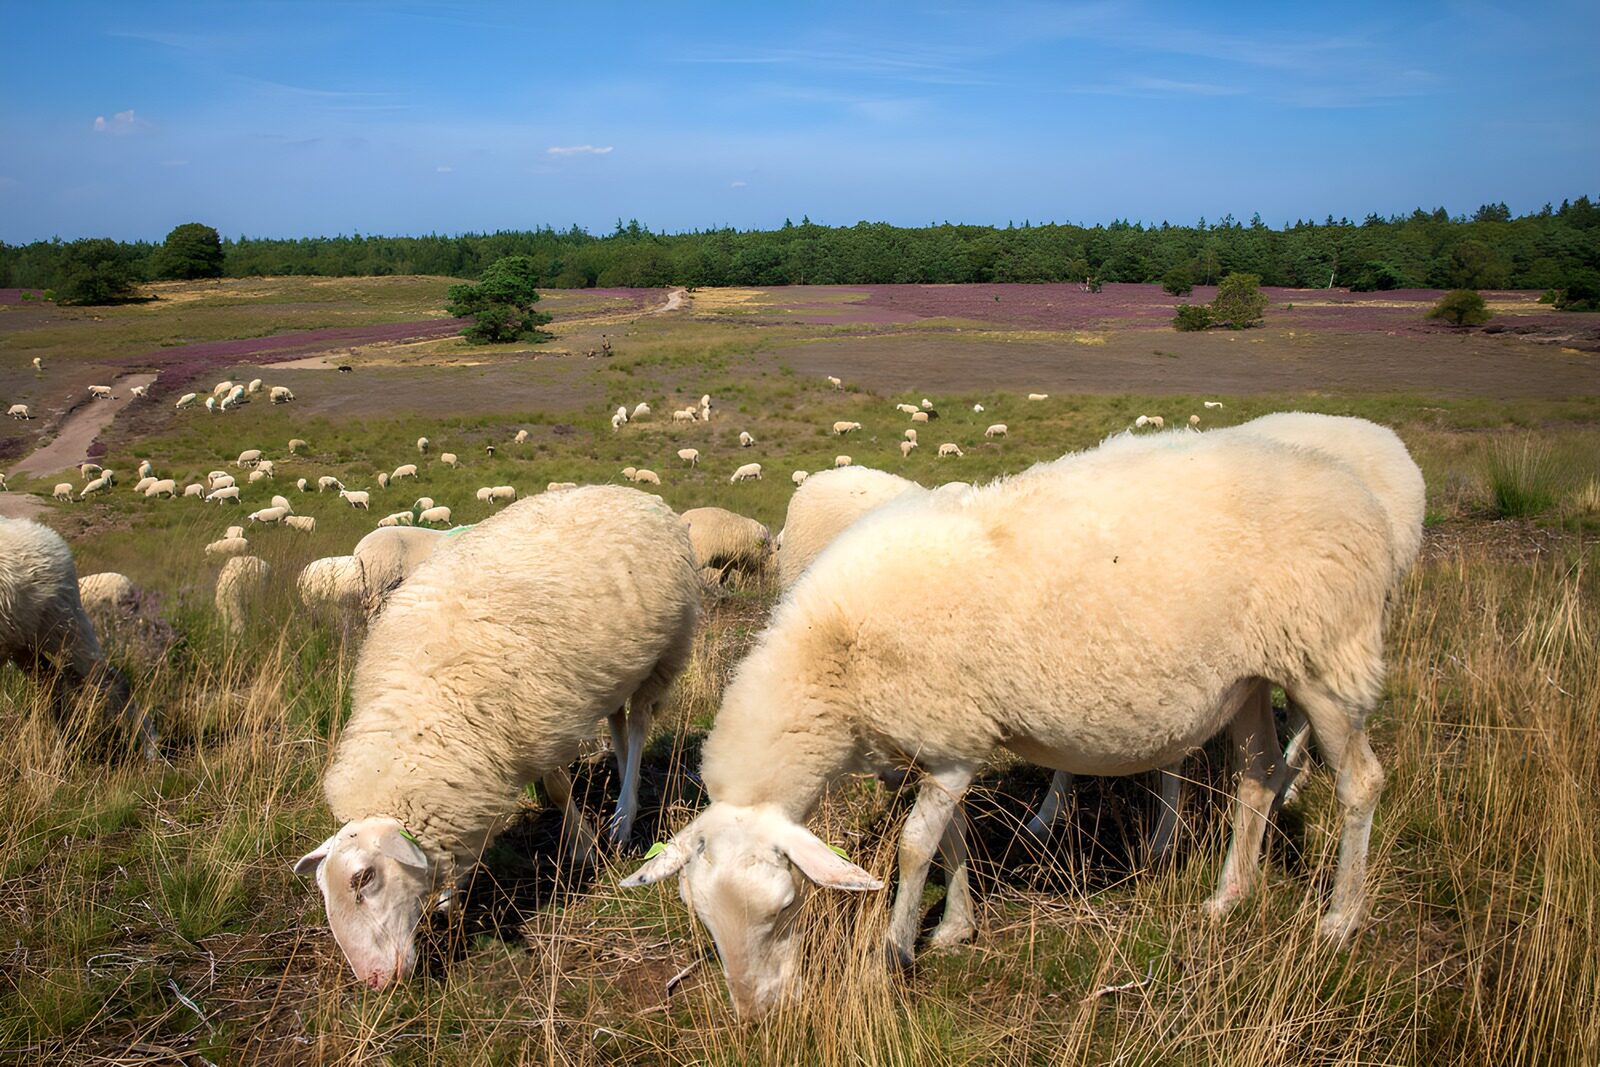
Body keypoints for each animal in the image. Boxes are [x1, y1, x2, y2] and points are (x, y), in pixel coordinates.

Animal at [0, 518, 153, 757]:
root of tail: (46, 532)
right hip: (23, 642)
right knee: (50, 679)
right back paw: (58, 742)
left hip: (65, 626)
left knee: (112, 680)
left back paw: (150, 748)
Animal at [293, 488, 701, 988]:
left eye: (363, 878)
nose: (374, 981)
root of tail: (631, 492)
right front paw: (448, 898)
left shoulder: (539, 718)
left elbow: (557, 787)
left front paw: (583, 848)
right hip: (618, 662)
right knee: (619, 723)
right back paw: (622, 778)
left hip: (666, 648)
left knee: (640, 723)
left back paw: (623, 816)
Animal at [622, 431, 1397, 1015]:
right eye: (702, 919)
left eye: (786, 910)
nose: (758, 1015)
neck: (834, 661)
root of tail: (1358, 493)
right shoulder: (948, 739)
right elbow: (951, 838)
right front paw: (956, 928)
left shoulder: (948, 736)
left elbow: (913, 847)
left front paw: (892, 954)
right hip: (1251, 676)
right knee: (1260, 775)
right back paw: (1228, 897)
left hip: (1327, 659)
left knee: (1361, 782)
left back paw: (1341, 919)